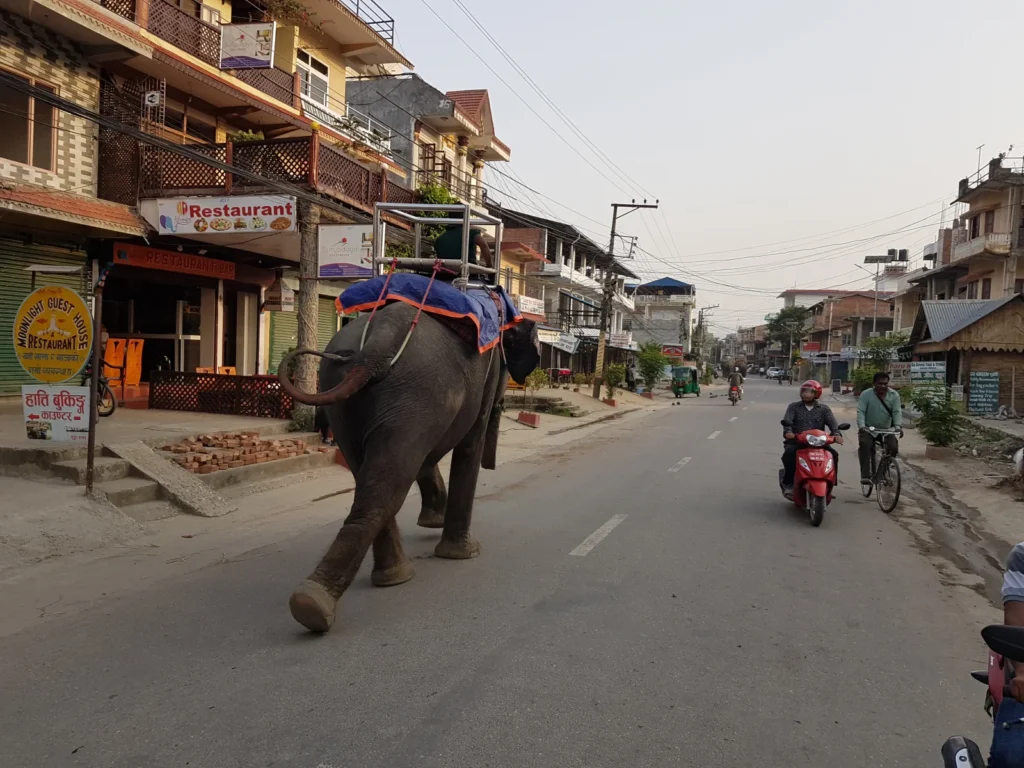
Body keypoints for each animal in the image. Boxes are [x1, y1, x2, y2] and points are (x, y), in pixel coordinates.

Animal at [276, 303, 540, 634]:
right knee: (391, 483)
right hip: (418, 392)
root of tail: (379, 342)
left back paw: (347, 592)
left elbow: (425, 459)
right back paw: (316, 605)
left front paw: (433, 524)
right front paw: (464, 554)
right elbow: (468, 446)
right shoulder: (486, 377)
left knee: (376, 479)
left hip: (346, 394)